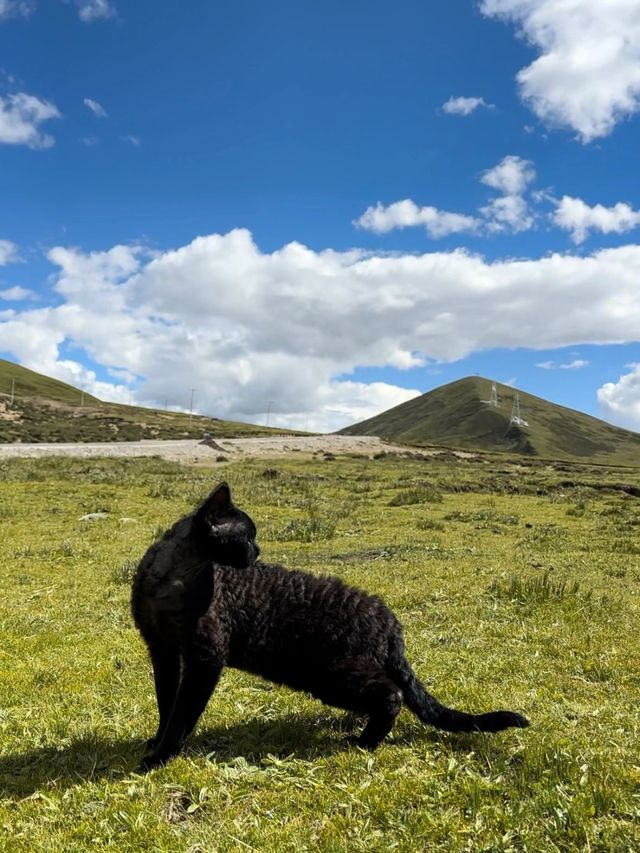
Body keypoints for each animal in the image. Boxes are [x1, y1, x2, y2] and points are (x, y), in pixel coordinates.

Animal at [131, 482, 528, 768]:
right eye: (247, 536)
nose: (257, 552)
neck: (173, 579)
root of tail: (390, 620)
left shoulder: (205, 658)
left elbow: (183, 713)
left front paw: (160, 758)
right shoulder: (163, 651)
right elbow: (167, 703)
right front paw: (157, 741)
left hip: (331, 675)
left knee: (393, 695)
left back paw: (365, 742)